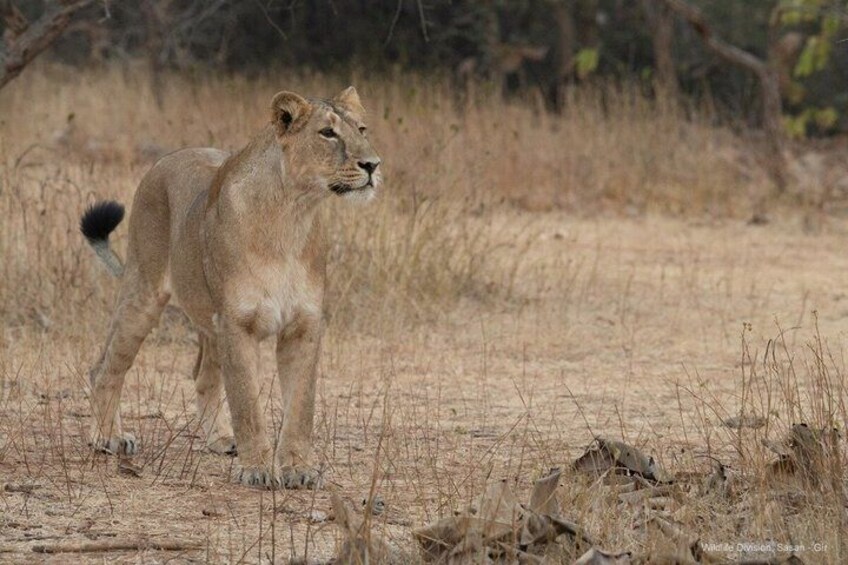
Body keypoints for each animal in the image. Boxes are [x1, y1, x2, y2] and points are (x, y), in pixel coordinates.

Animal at [80, 87, 381, 489]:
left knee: (203, 377)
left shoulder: (304, 325)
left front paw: (299, 468)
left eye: (362, 128)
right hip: (145, 294)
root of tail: (166, 159)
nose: (373, 165)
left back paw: (220, 439)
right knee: (106, 367)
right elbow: (246, 402)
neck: (292, 216)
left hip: (210, 321)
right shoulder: (238, 323)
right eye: (328, 133)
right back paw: (106, 436)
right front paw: (257, 470)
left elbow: (301, 405)